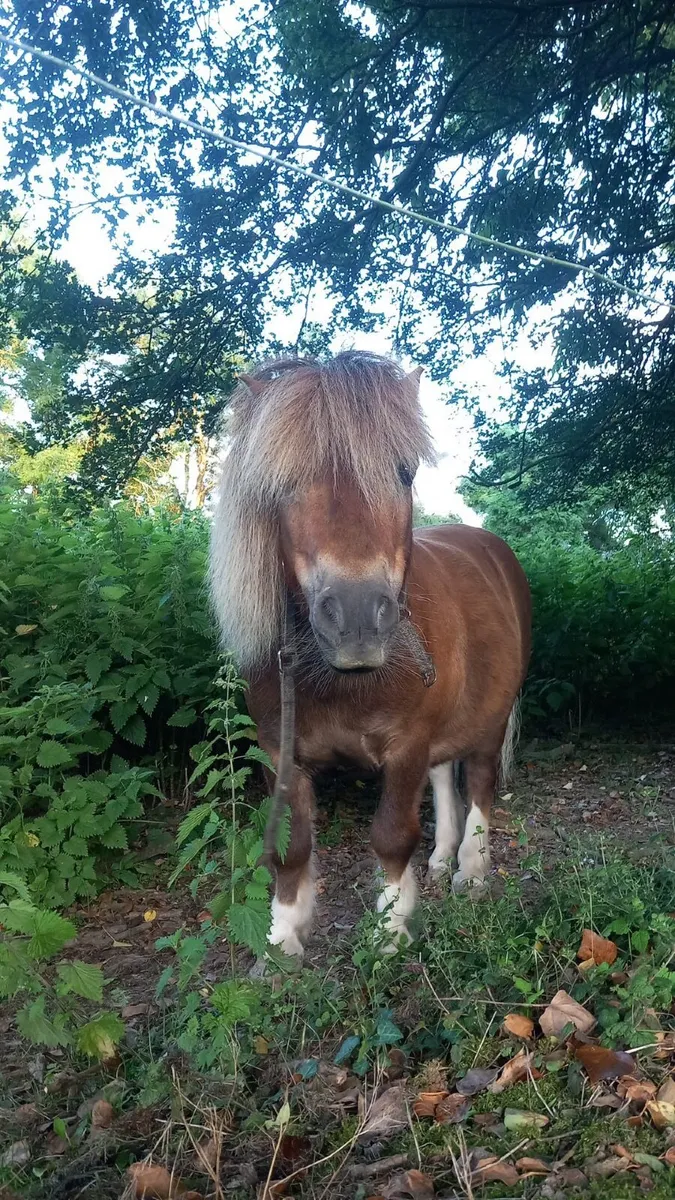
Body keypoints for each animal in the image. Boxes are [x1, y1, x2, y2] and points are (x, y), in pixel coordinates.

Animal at [210, 351, 531, 959]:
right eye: (284, 482)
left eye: (405, 472)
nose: (357, 618)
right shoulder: (281, 753)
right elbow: (293, 844)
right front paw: (284, 936)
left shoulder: (405, 747)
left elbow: (391, 836)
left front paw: (391, 927)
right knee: (444, 777)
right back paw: (441, 859)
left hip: (491, 719)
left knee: (479, 784)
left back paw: (471, 872)